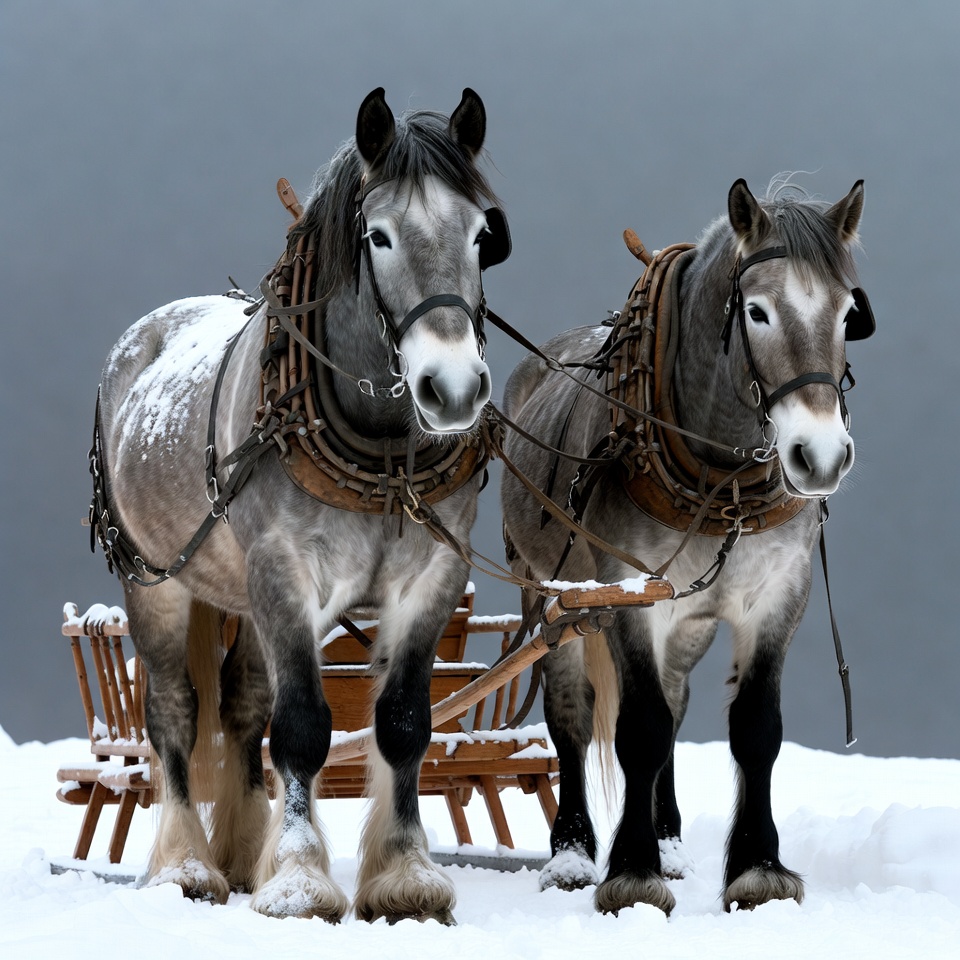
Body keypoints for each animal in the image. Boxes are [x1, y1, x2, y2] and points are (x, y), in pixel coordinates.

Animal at [89, 87, 510, 923]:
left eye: (483, 233)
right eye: (378, 234)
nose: (452, 390)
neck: (382, 453)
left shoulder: (431, 581)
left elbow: (403, 723)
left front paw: (403, 875)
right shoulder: (285, 574)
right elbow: (305, 728)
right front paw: (299, 880)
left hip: (240, 595)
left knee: (244, 705)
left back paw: (241, 850)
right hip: (156, 581)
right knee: (176, 711)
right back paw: (187, 864)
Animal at [500, 178, 872, 915]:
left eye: (849, 314)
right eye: (756, 311)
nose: (819, 456)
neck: (721, 478)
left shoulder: (778, 595)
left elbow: (754, 728)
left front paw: (757, 868)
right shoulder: (629, 596)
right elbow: (639, 728)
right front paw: (631, 872)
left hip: (688, 618)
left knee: (676, 702)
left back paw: (669, 843)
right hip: (553, 597)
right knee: (572, 715)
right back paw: (573, 853)